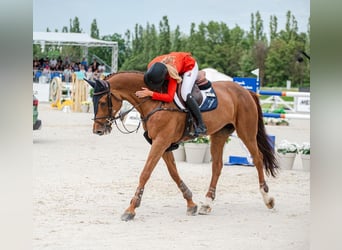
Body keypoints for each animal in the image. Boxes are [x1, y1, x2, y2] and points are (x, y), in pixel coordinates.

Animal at [84, 71, 280, 221]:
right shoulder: (163, 144)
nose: (97, 130)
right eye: (93, 102)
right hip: (219, 134)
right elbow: (173, 173)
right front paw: (191, 203)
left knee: (257, 159)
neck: (154, 100)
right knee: (217, 166)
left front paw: (131, 209)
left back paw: (268, 198)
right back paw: (207, 203)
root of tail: (246, 91)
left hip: (246, 132)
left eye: (103, 102)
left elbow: (145, 173)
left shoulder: (161, 141)